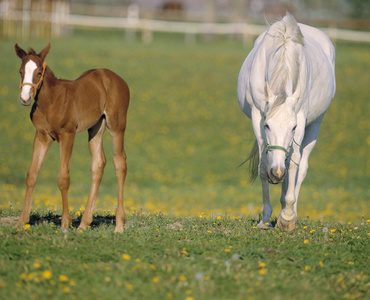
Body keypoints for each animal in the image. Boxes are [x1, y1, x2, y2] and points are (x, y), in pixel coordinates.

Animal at [14, 44, 130, 232]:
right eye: (21, 71)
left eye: (38, 72)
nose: (25, 98)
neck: (51, 101)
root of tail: (117, 78)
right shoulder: (41, 136)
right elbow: (32, 174)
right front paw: (21, 222)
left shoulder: (67, 135)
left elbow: (63, 177)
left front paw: (65, 223)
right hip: (96, 127)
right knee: (98, 164)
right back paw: (84, 223)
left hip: (116, 126)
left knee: (120, 162)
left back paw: (119, 225)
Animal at [237, 12, 336, 231]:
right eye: (267, 125)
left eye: (293, 127)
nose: (276, 173)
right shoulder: (257, 115)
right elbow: (264, 165)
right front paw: (265, 219)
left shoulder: (301, 118)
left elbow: (293, 165)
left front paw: (288, 217)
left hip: (315, 124)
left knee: (300, 166)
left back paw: (290, 210)